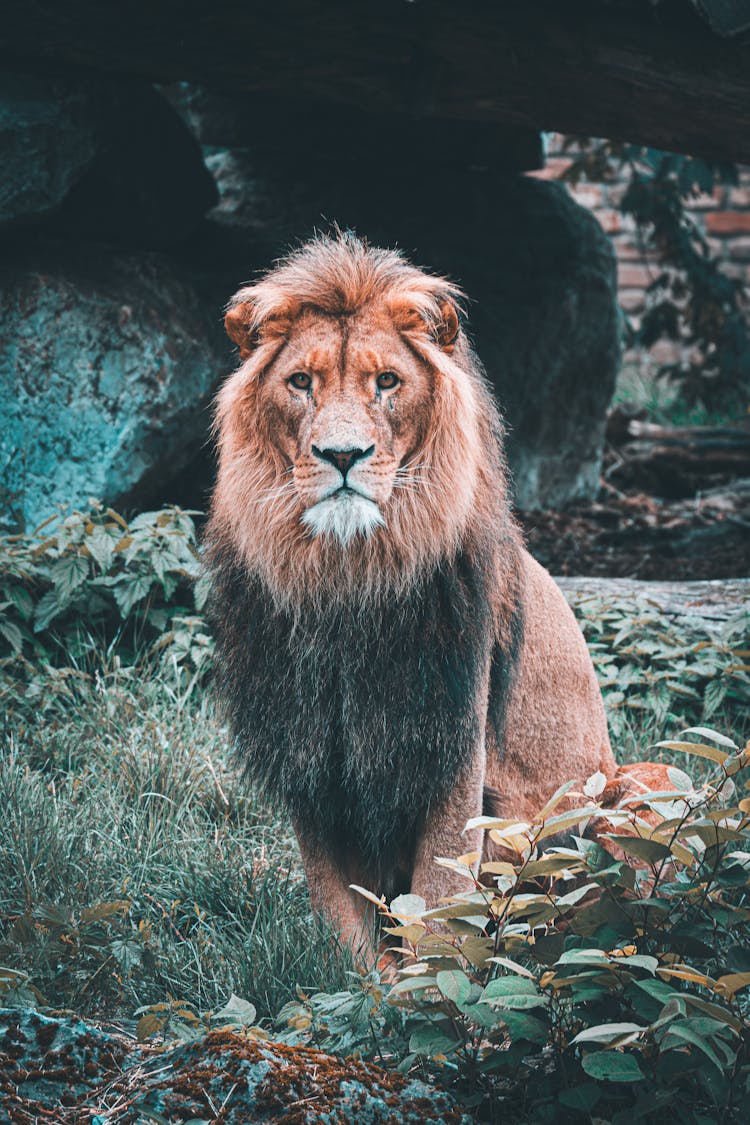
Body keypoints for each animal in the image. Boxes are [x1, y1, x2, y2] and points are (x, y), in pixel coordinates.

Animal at [205, 228, 616, 949]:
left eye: (388, 381)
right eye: (300, 382)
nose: (343, 455)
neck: (346, 580)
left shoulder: (450, 738)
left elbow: (442, 895)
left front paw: (430, 977)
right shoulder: (313, 755)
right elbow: (340, 916)